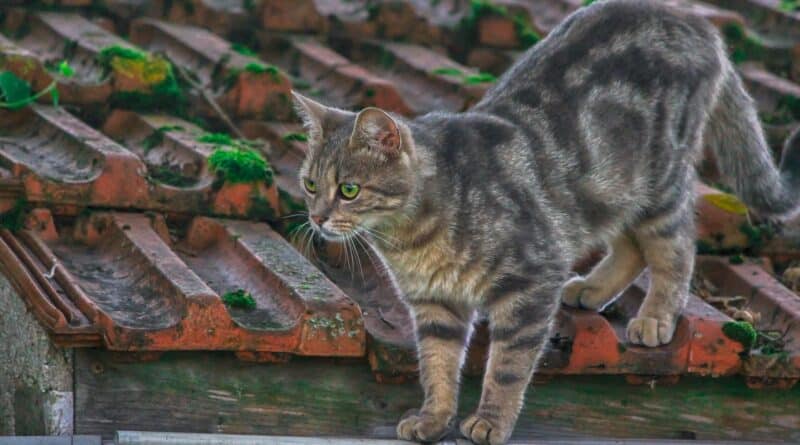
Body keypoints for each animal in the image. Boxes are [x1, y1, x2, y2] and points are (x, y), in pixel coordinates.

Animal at [292, 1, 800, 442]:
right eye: (311, 184)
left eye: (349, 190)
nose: (316, 218)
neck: (412, 239)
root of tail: (694, 20)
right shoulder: (435, 307)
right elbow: (436, 366)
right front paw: (433, 419)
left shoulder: (531, 281)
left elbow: (508, 367)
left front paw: (491, 421)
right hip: (609, 191)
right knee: (630, 245)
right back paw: (590, 289)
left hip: (659, 185)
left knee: (676, 249)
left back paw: (656, 316)